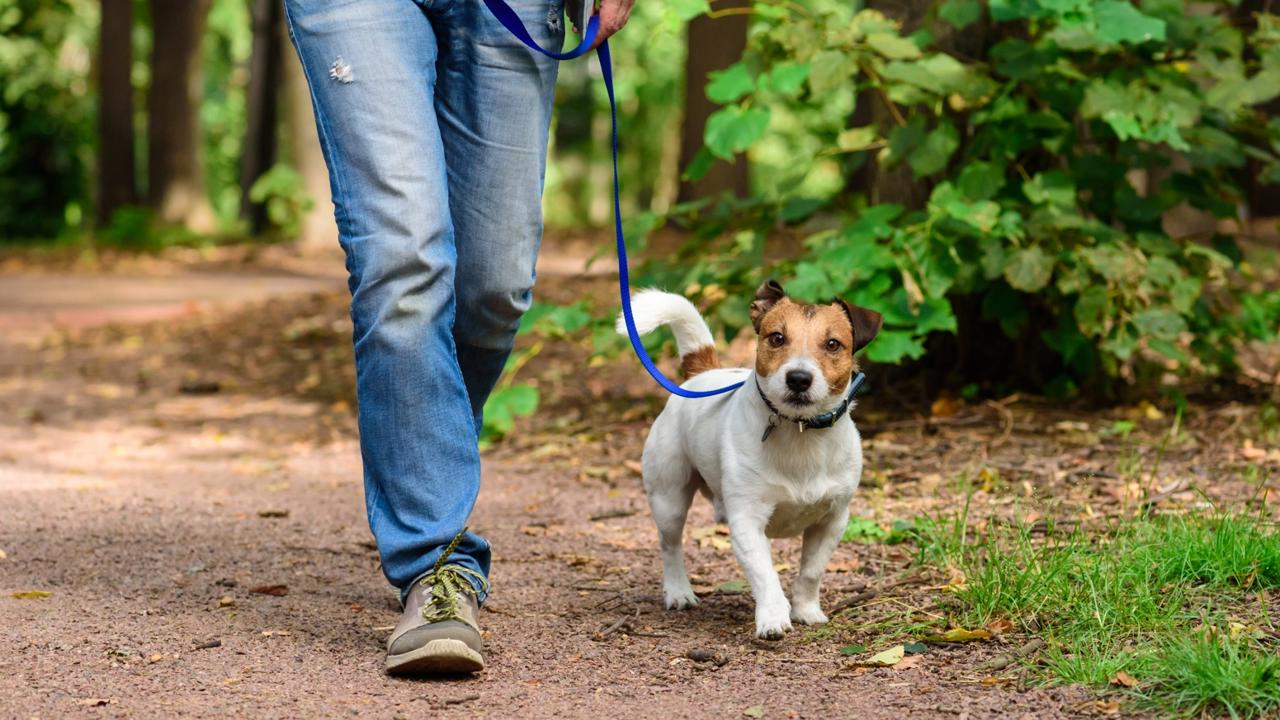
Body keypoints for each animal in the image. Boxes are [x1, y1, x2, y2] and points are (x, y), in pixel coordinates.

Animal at [616, 278, 880, 635]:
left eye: (833, 344)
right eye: (777, 338)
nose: (799, 378)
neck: (799, 433)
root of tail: (702, 373)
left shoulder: (832, 521)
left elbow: (811, 572)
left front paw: (806, 610)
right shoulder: (746, 521)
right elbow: (766, 576)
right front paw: (773, 618)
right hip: (668, 498)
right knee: (670, 546)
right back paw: (679, 591)